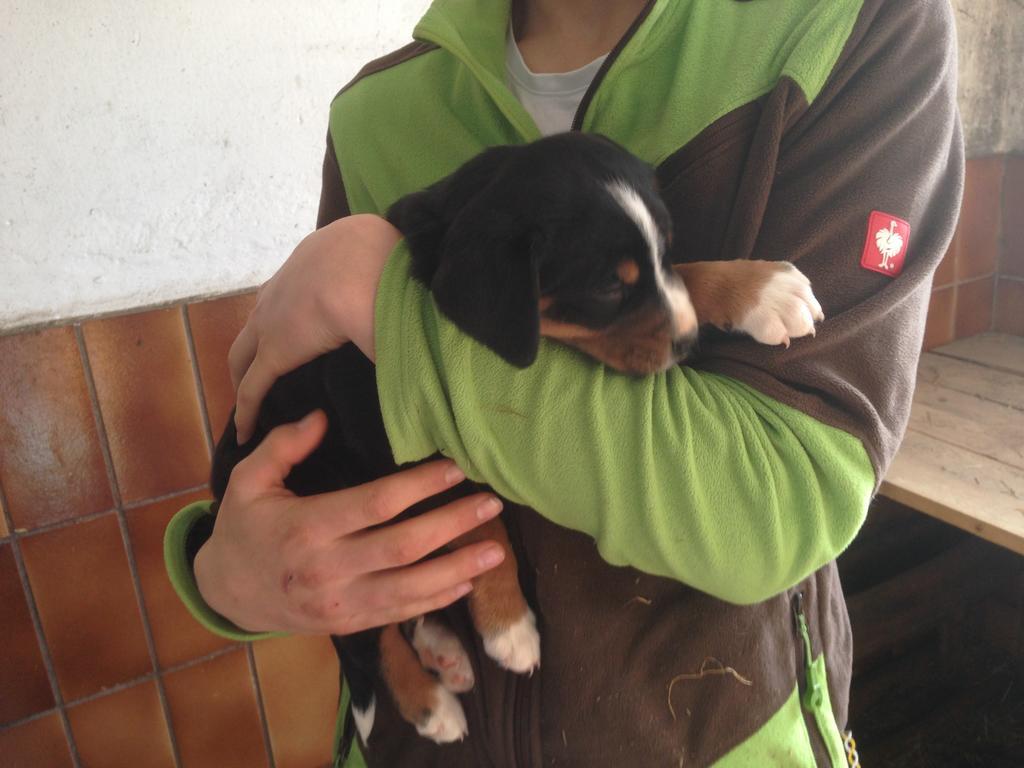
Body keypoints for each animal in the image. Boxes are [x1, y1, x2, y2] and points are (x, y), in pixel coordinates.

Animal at [207, 132, 823, 753]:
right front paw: (509, 629)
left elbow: (684, 284)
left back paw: (442, 650)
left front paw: (760, 291)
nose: (690, 343)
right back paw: (430, 703)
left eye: (667, 253)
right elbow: (484, 524)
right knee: (366, 633)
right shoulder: (414, 445)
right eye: (607, 286)